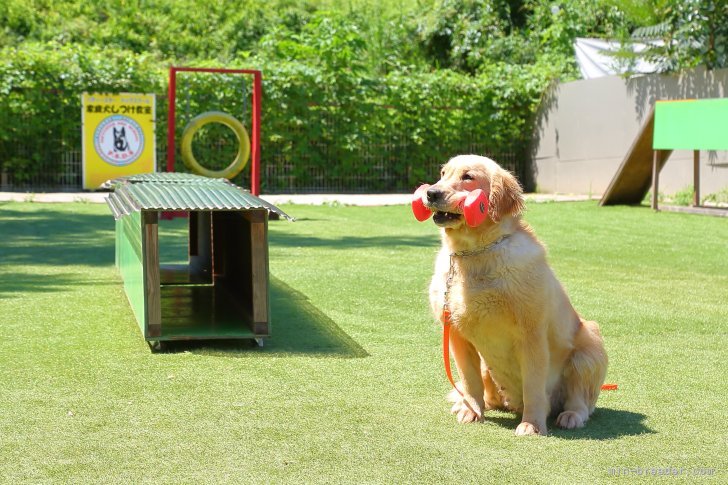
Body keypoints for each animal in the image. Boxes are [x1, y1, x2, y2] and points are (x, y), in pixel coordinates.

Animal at [424, 155, 604, 434]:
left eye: (468, 177)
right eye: (443, 174)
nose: (431, 193)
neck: (476, 254)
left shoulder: (531, 334)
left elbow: (533, 386)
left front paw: (532, 425)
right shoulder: (454, 332)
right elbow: (469, 381)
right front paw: (471, 411)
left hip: (590, 347)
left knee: (580, 400)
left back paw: (571, 415)